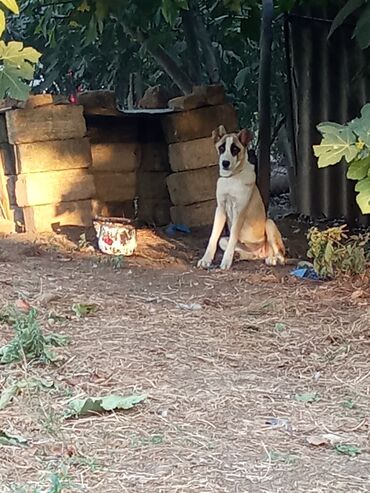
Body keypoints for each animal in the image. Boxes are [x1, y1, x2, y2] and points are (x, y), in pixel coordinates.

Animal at [198, 124, 284, 270]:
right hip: (229, 242)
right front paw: (206, 259)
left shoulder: (240, 212)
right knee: (249, 253)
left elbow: (233, 236)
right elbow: (213, 237)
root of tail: (262, 251)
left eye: (235, 149)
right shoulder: (220, 209)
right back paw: (241, 256)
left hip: (269, 223)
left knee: (281, 255)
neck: (232, 178)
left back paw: (273, 259)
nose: (225, 163)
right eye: (221, 148)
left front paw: (226, 261)